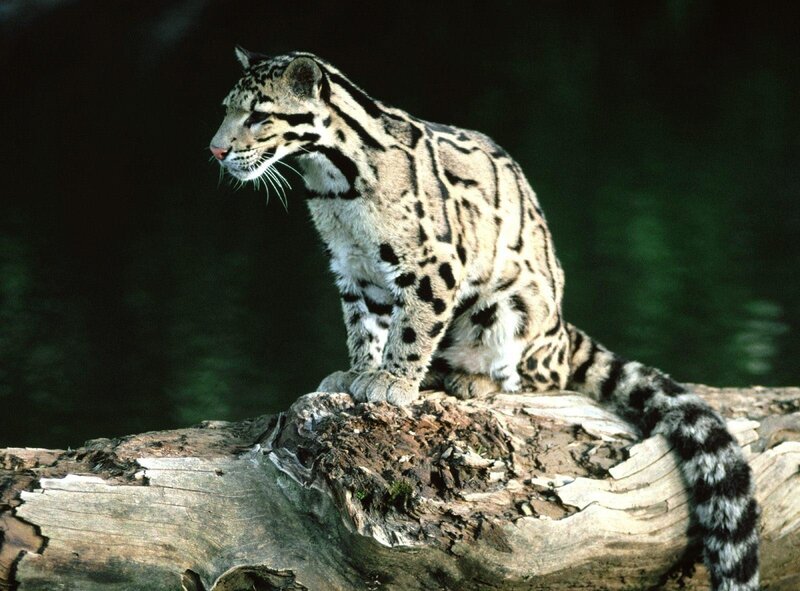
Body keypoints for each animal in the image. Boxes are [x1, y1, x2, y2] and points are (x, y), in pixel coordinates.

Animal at [210, 48, 759, 591]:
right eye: (226, 109)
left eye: (258, 116)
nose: (215, 151)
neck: (333, 184)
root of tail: (564, 332)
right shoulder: (353, 268)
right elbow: (364, 326)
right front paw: (357, 372)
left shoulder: (433, 263)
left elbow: (411, 329)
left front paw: (392, 382)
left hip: (509, 311)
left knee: (535, 378)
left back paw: (471, 380)